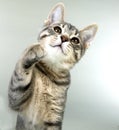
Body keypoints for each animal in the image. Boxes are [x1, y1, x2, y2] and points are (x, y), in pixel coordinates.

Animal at [8, 2, 97, 130]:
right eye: (57, 29)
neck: (50, 73)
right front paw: (32, 50)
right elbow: (20, 75)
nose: (64, 38)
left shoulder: (55, 116)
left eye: (75, 40)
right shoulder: (17, 101)